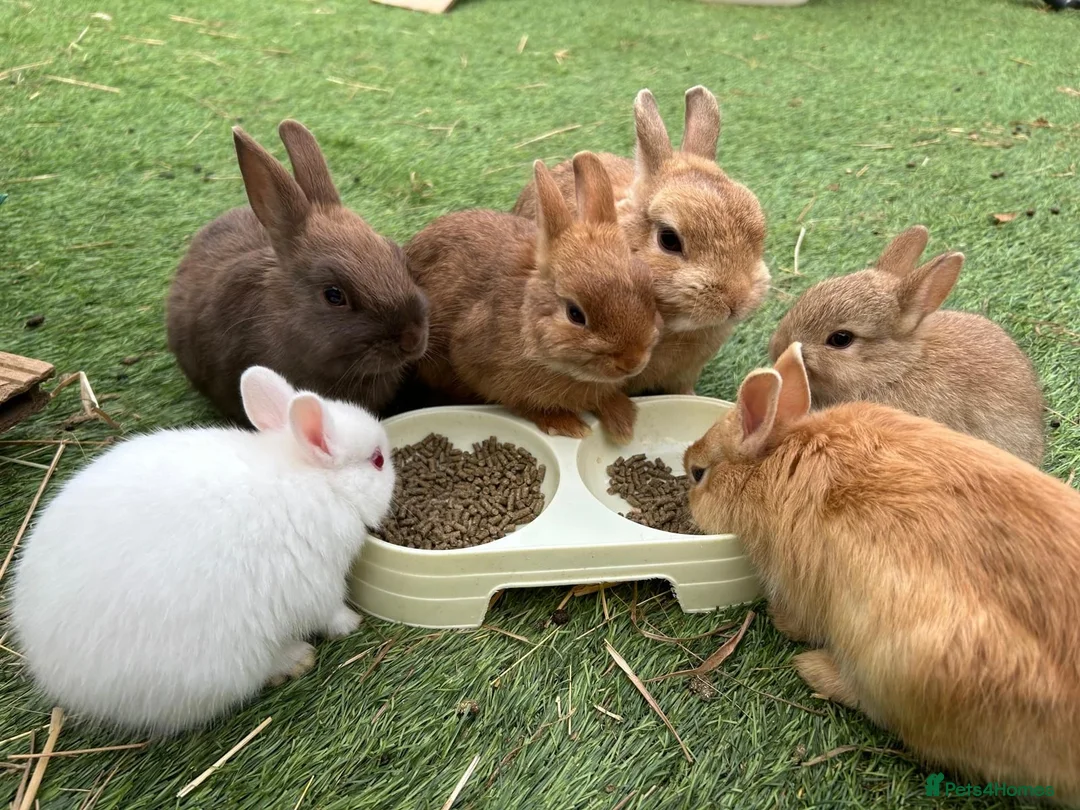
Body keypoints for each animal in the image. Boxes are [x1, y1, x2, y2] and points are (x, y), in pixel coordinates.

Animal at [10, 366, 393, 735]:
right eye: (377, 460)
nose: (394, 473)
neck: (316, 480)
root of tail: (58, 677)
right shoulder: (317, 583)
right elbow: (329, 612)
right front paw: (351, 623)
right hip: (224, 665)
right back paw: (296, 659)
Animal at [406, 152, 662, 443]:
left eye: (647, 286)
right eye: (575, 314)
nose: (632, 362)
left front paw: (622, 420)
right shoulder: (481, 367)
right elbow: (521, 403)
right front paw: (567, 424)